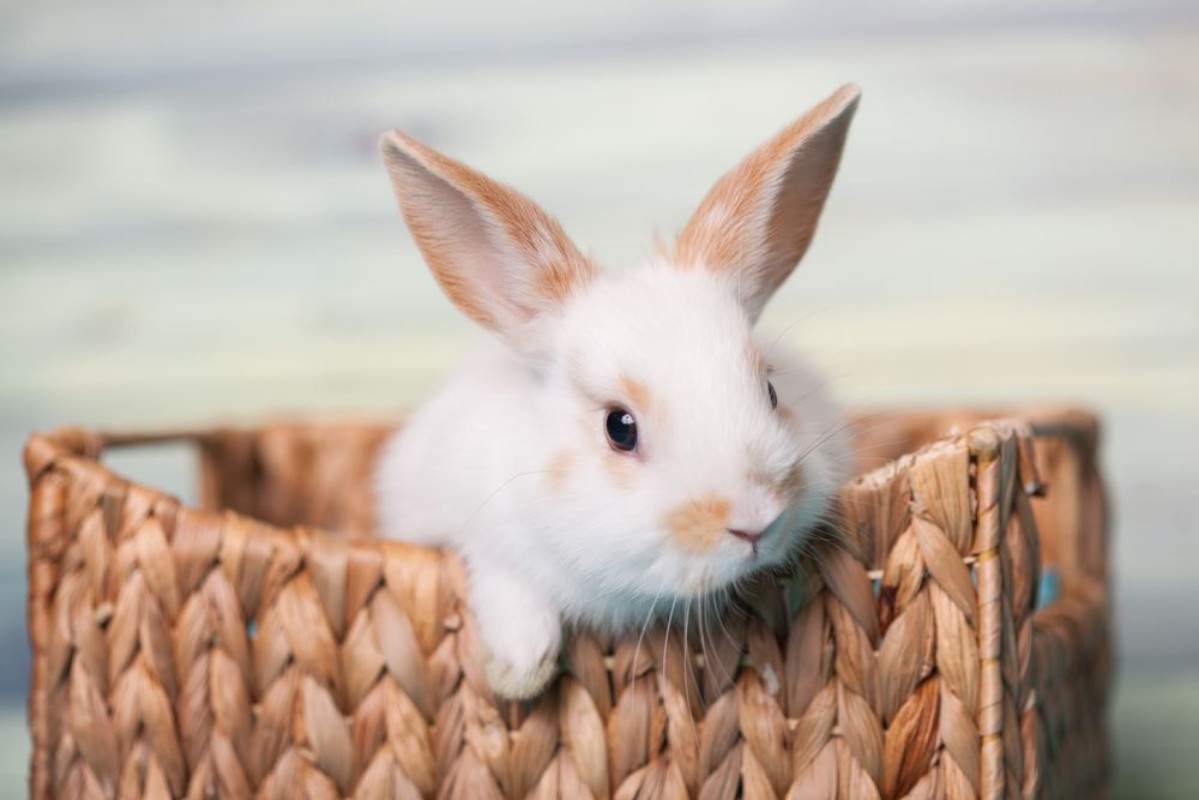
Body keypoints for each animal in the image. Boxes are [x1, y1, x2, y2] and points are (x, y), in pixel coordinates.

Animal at [374, 85, 860, 699]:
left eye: (771, 391)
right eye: (619, 428)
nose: (753, 522)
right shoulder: (467, 525)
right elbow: (503, 579)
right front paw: (520, 669)